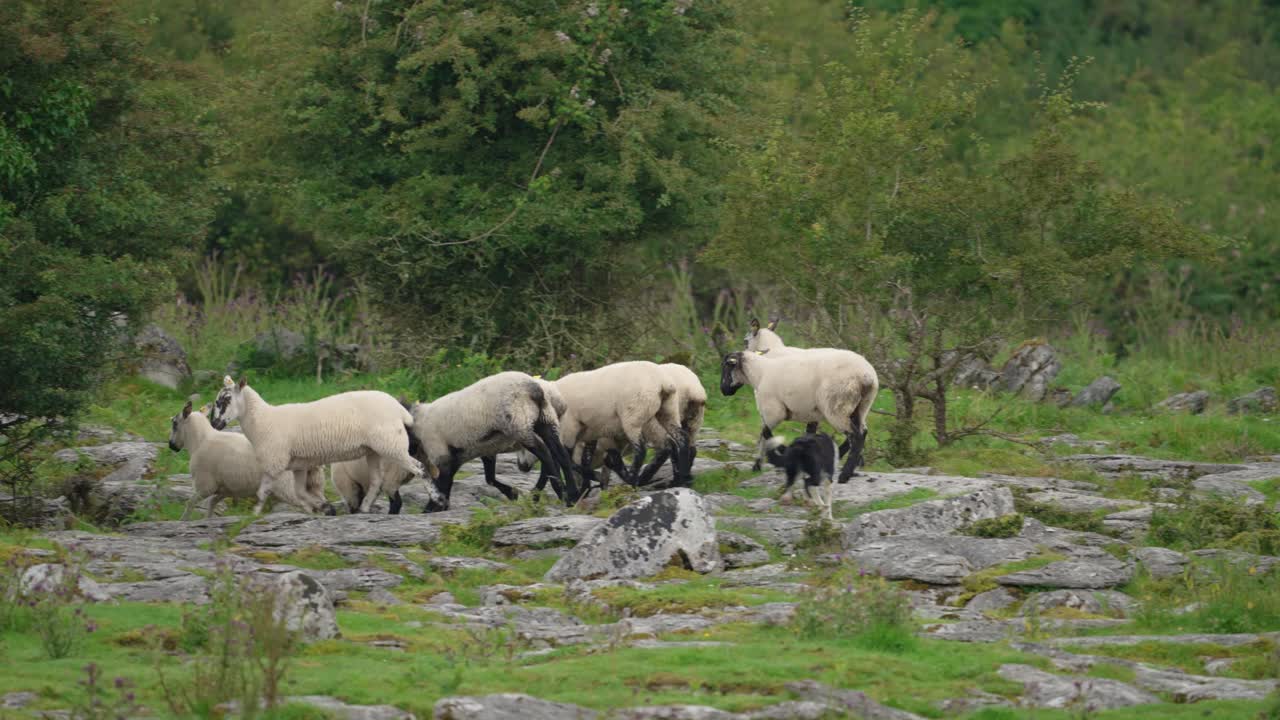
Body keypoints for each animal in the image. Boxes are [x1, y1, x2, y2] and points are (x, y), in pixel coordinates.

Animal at [167, 401, 325, 518]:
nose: (171, 445)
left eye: (174, 423)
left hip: (287, 487)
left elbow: (190, 504)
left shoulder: (205, 486)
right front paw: (208, 519)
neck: (199, 441)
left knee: (308, 507)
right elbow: (212, 503)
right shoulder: (226, 489)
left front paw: (183, 521)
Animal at [209, 376, 438, 514]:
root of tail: (400, 410)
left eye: (226, 399)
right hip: (374, 450)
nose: (214, 424)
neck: (263, 421)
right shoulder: (298, 465)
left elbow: (262, 492)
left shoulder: (274, 462)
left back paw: (437, 500)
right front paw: (322, 508)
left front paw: (254, 516)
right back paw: (364, 508)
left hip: (392, 444)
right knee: (376, 481)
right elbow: (300, 493)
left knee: (419, 468)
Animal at [408, 371, 578, 512]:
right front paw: (512, 493)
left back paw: (559, 493)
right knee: (561, 454)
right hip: (546, 420)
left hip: (519, 424)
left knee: (545, 453)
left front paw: (433, 507)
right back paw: (571, 495)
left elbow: (442, 481)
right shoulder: (478, 451)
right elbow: (488, 478)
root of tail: (535, 389)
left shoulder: (440, 452)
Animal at [720, 349, 878, 482]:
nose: (723, 390)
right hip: (861, 407)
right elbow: (805, 435)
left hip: (837, 407)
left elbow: (765, 433)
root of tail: (866, 377)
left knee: (856, 436)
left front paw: (778, 455)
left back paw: (845, 475)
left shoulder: (774, 411)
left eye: (727, 366)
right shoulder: (811, 415)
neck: (759, 374)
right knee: (862, 432)